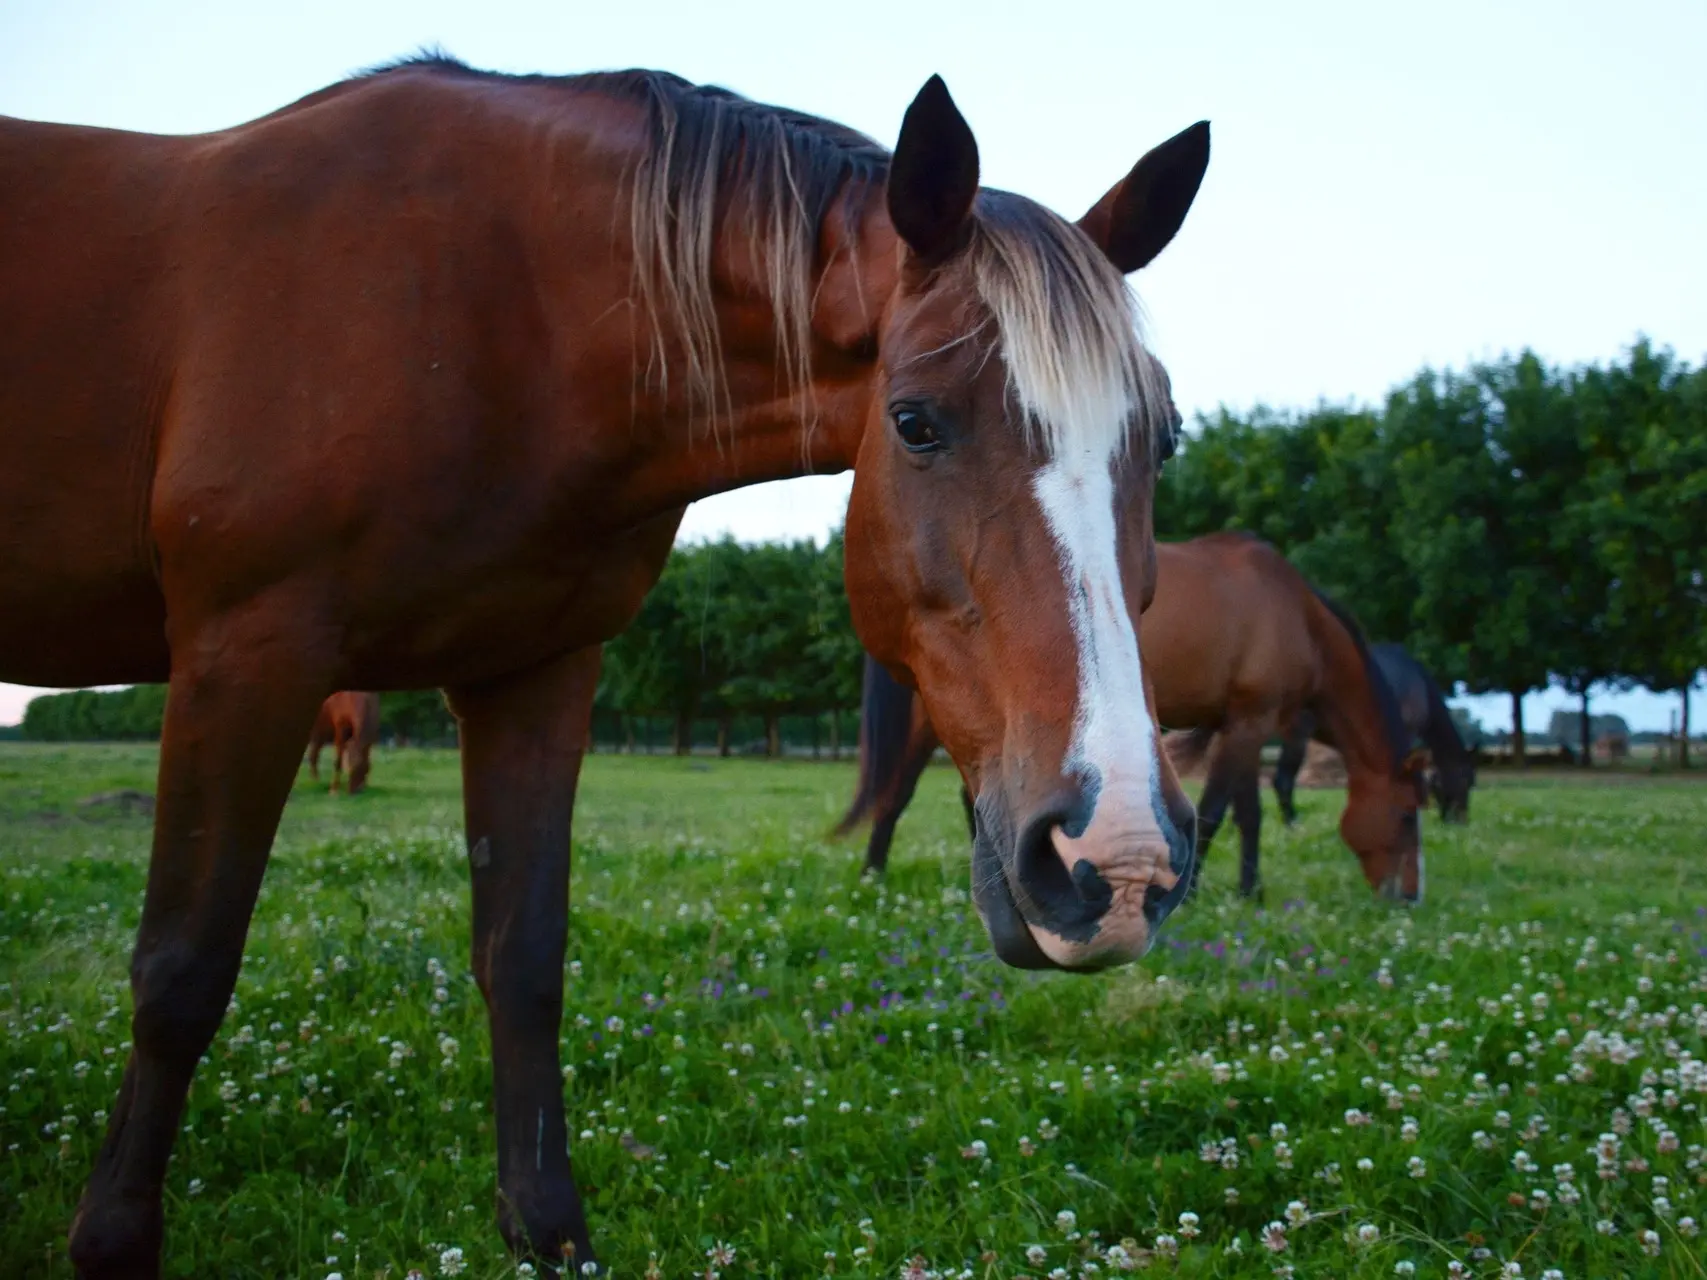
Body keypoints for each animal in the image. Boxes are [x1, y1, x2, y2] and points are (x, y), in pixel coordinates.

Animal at [0, 55, 1208, 1276]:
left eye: (1163, 438)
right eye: (915, 421)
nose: (1119, 861)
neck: (491, 313)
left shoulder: (538, 669)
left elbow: (525, 958)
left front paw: (545, 1229)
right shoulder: (245, 649)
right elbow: (181, 968)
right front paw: (111, 1239)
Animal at [843, 532, 1427, 901]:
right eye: (1406, 816)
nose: (1409, 897)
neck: (1296, 613)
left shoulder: (1241, 725)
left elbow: (1247, 813)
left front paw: (1250, 889)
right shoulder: (1249, 723)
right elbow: (1219, 811)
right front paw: (1195, 894)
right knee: (898, 793)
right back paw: (875, 876)